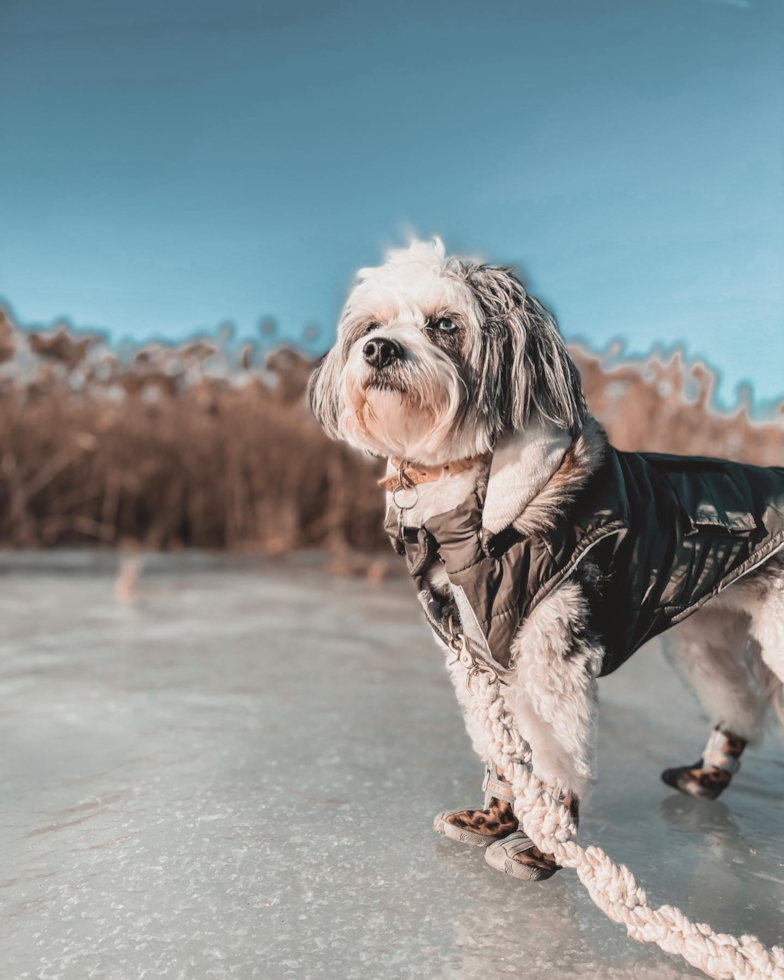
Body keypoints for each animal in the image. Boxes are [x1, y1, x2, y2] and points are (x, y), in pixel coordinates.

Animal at [310, 237, 784, 880]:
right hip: (707, 632)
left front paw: (546, 843)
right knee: (736, 700)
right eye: (371, 325)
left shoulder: (552, 649)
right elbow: (502, 744)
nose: (379, 349)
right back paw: (706, 775)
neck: (469, 501)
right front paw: (495, 816)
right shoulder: (475, 650)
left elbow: (555, 748)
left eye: (446, 324)